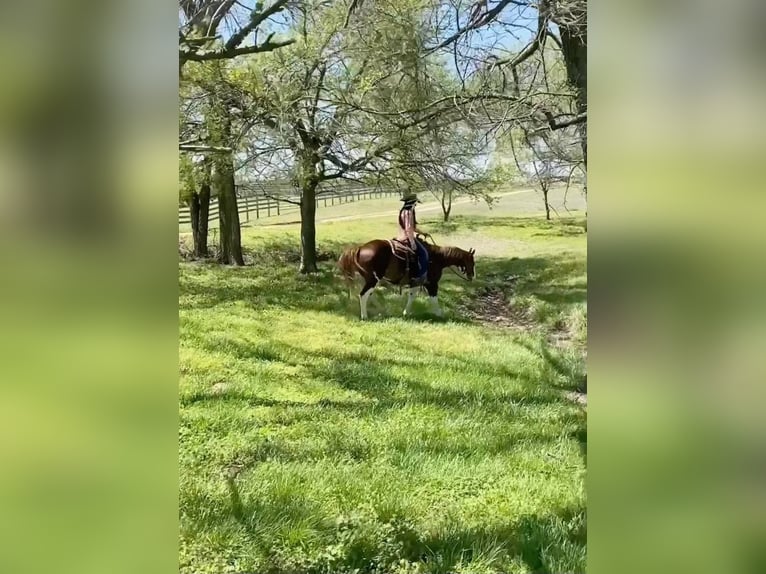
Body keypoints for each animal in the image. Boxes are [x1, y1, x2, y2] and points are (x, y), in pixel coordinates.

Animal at [340, 237, 476, 322]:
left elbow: (412, 296)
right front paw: (440, 314)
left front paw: (406, 313)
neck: (437, 258)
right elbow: (434, 299)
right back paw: (365, 316)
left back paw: (382, 310)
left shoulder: (415, 283)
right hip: (373, 279)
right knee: (363, 295)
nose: (472, 276)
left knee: (369, 295)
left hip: (369, 280)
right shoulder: (432, 284)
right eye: (472, 262)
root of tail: (360, 248)